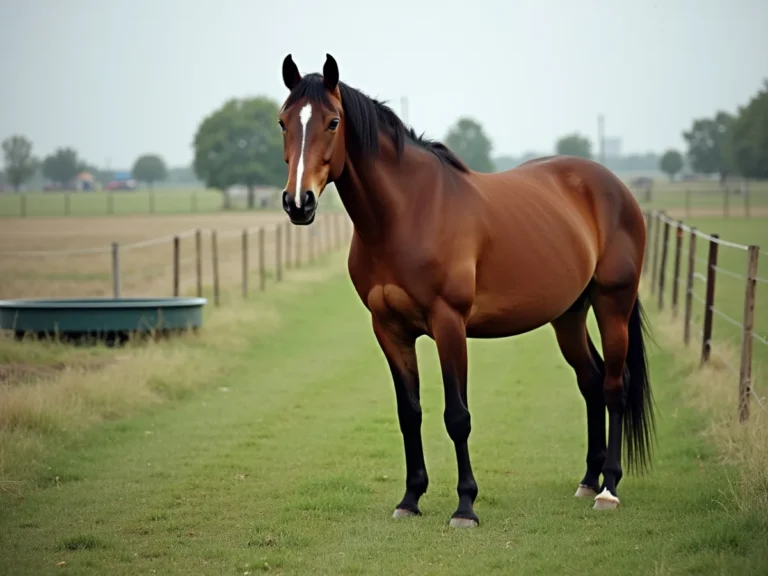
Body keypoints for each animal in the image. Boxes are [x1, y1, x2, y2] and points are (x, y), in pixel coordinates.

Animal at [276, 53, 655, 528]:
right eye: (282, 121)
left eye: (332, 121)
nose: (299, 203)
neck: (407, 214)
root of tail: (615, 186)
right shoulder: (389, 329)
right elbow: (409, 413)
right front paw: (410, 499)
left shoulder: (449, 324)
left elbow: (457, 416)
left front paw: (465, 507)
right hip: (568, 314)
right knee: (590, 381)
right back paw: (588, 480)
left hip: (612, 304)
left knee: (614, 386)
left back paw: (609, 488)